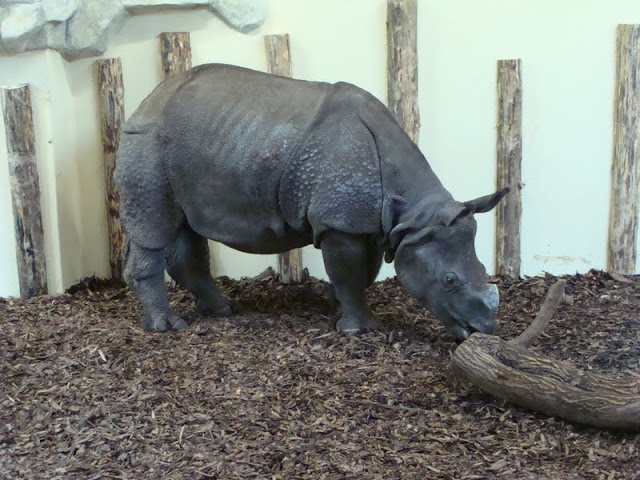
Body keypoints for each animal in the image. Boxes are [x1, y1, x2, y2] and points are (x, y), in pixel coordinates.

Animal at [114, 63, 508, 340]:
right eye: (450, 280)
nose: (483, 329)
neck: (413, 214)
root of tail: (146, 102)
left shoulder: (369, 223)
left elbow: (361, 273)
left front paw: (338, 309)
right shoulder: (339, 222)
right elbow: (349, 272)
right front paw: (360, 329)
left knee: (184, 227)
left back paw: (224, 310)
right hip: (146, 142)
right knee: (154, 227)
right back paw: (167, 326)